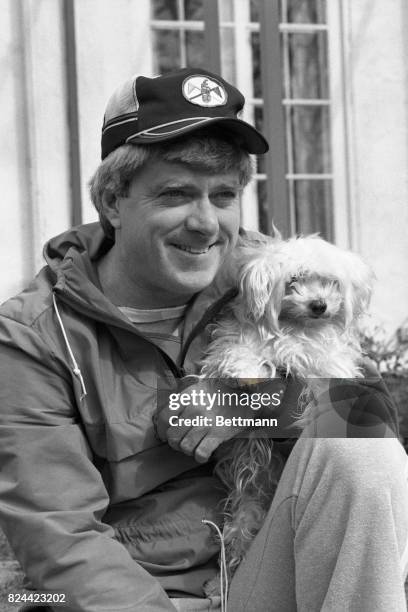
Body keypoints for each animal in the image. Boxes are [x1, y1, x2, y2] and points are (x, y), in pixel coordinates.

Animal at [201, 232, 376, 584]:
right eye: (293, 281)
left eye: (330, 282)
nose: (319, 305)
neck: (298, 329)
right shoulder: (243, 337)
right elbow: (242, 349)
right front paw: (244, 370)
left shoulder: (325, 362)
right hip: (250, 493)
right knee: (242, 523)